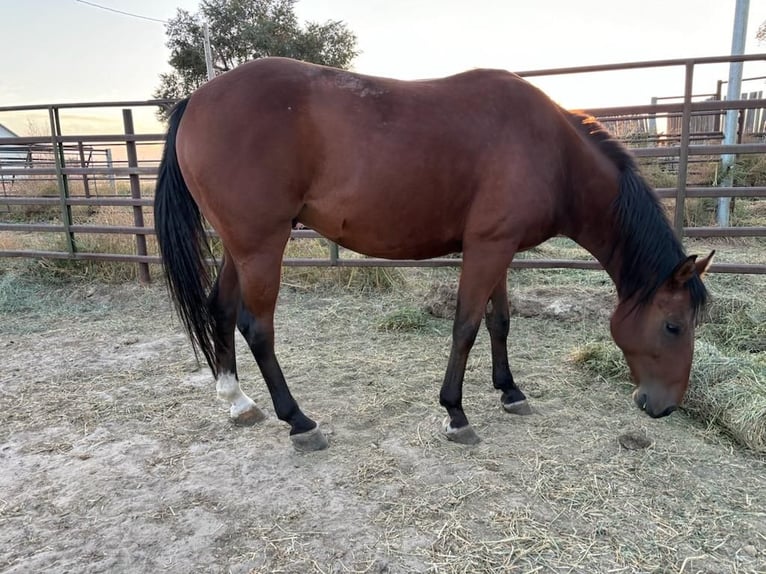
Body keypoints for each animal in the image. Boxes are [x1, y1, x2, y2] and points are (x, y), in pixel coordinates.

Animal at [154, 57, 713, 452]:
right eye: (673, 326)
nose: (664, 407)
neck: (553, 153)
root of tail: (195, 100)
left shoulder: (500, 247)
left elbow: (500, 321)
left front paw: (510, 391)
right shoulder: (487, 248)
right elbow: (465, 325)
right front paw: (456, 414)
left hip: (242, 246)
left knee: (221, 309)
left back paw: (238, 402)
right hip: (262, 245)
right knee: (257, 327)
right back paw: (299, 421)